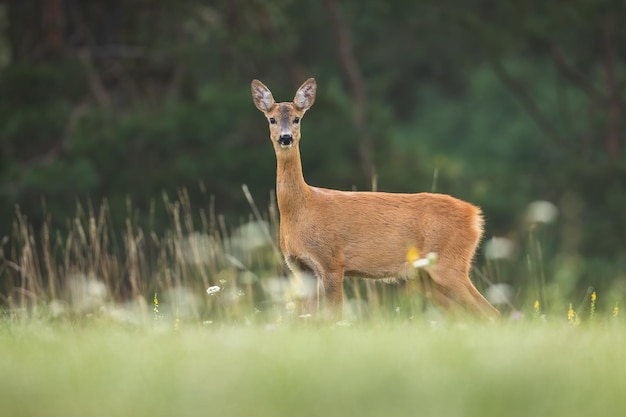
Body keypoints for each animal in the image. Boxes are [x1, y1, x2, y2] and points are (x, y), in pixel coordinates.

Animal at [249, 78, 498, 318]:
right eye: (271, 119)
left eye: (297, 118)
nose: (286, 138)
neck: (302, 207)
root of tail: (475, 216)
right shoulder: (301, 267)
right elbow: (308, 320)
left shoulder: (332, 262)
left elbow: (334, 317)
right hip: (427, 276)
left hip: (448, 264)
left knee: (491, 312)